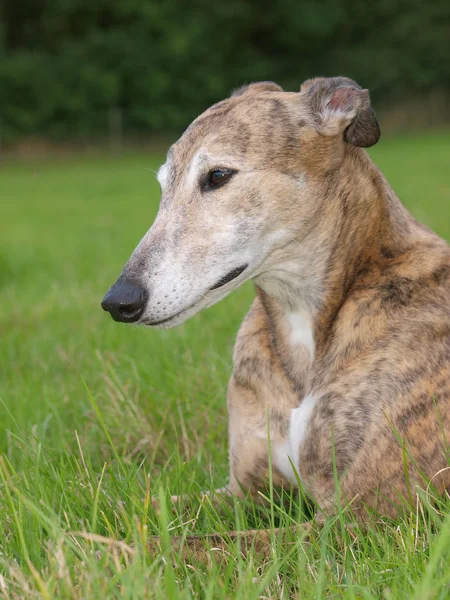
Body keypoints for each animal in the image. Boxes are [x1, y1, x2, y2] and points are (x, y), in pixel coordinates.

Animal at [101, 76, 450, 536]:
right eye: (163, 186)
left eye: (218, 175)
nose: (119, 301)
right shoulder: (245, 491)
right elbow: (128, 510)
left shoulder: (359, 517)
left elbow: (200, 543)